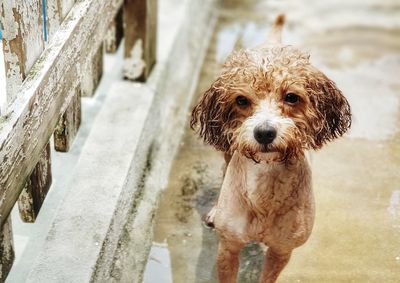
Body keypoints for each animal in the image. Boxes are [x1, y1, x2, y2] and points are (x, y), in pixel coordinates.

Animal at [191, 16, 350, 283]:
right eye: (241, 100)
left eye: (291, 97)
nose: (264, 132)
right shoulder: (228, 248)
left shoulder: (281, 251)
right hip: (227, 150)